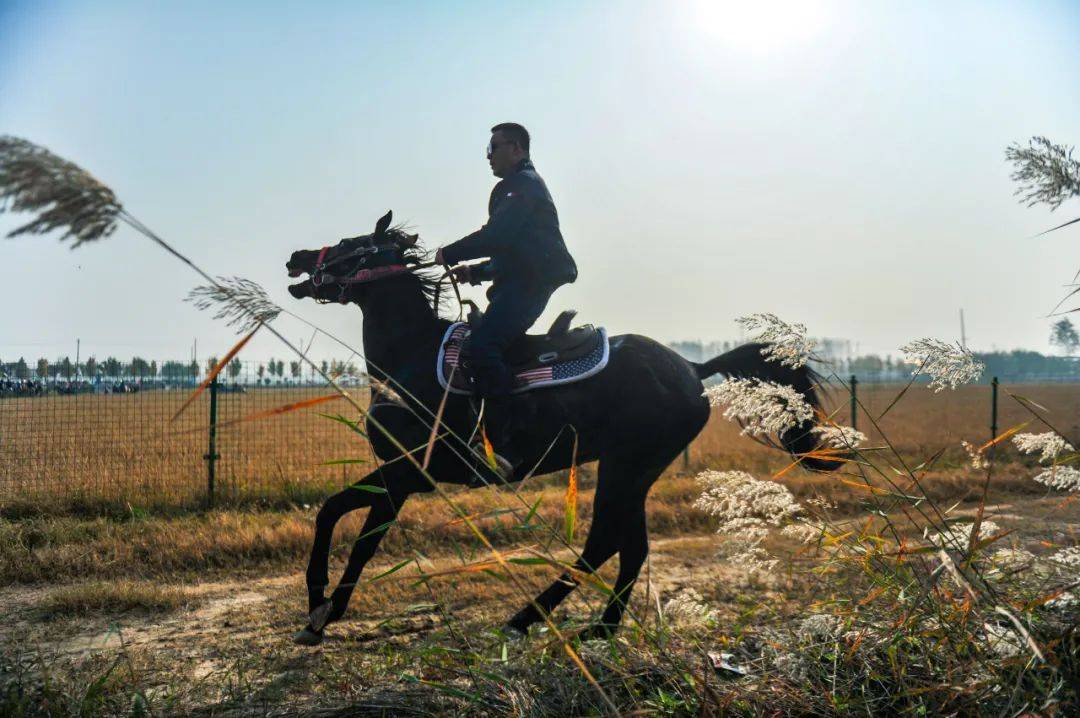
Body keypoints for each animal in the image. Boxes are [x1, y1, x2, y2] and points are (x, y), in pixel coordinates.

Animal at [285, 211, 833, 643]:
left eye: (353, 245)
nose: (296, 258)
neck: (411, 355)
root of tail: (693, 370)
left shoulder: (406, 474)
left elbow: (354, 533)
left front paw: (321, 611)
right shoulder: (398, 475)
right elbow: (339, 521)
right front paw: (320, 605)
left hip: (627, 467)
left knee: (603, 543)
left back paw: (525, 618)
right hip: (631, 471)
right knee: (630, 547)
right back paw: (601, 626)